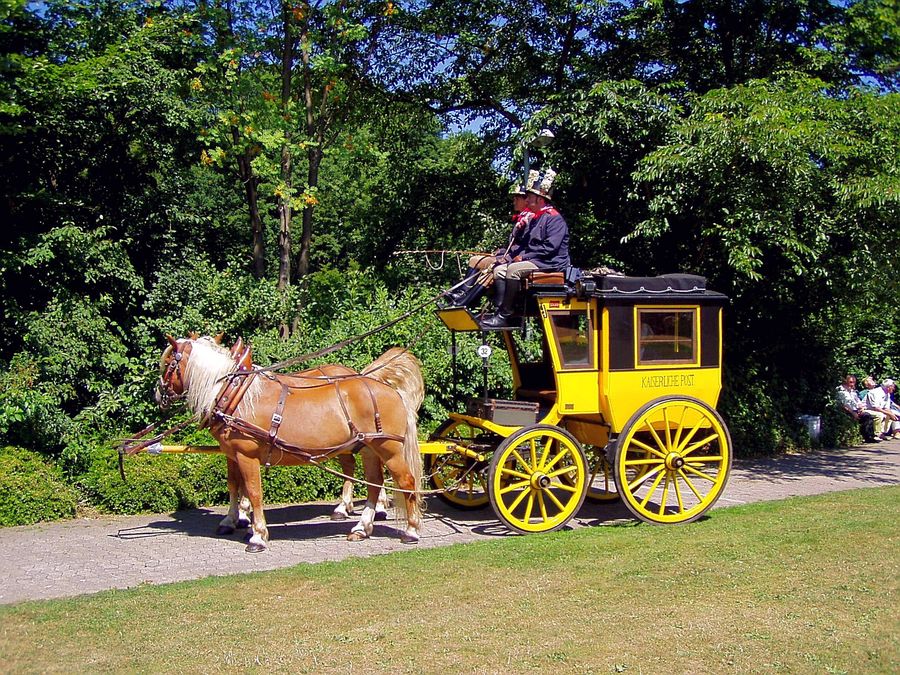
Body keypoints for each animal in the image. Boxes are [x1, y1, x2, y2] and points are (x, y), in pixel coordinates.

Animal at [154, 336, 422, 552]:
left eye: (167, 364)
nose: (158, 394)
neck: (235, 394)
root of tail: (390, 390)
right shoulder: (232, 454)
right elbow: (234, 486)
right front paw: (232, 520)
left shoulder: (246, 455)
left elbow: (254, 492)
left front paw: (257, 536)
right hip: (369, 449)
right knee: (374, 484)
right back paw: (361, 528)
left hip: (389, 449)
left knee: (406, 482)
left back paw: (411, 530)